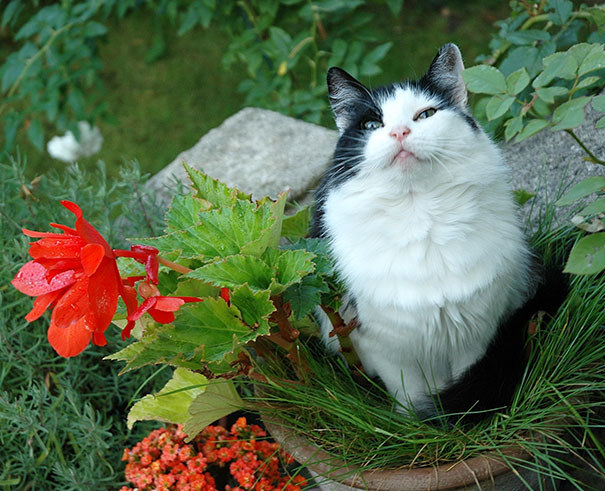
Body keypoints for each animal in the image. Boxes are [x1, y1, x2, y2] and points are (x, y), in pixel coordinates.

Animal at [314, 43, 564, 422]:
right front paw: (416, 424)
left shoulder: (474, 330)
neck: (418, 211)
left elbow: (462, 379)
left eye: (425, 114)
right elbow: (409, 392)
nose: (400, 133)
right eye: (372, 124)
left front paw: (451, 420)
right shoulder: (385, 343)